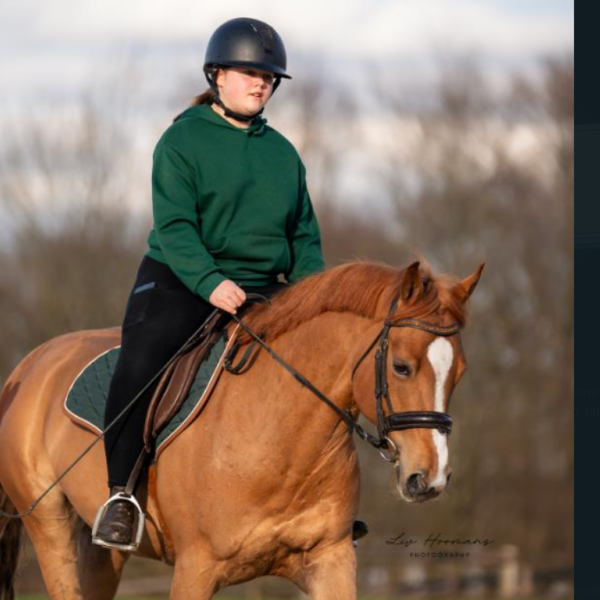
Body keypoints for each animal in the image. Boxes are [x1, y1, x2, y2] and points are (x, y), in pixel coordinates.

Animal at [0, 262, 480, 600]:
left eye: (460, 372)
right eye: (401, 367)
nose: (430, 478)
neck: (278, 442)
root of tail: (30, 365)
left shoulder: (331, 562)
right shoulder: (195, 569)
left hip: (101, 551)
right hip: (51, 529)